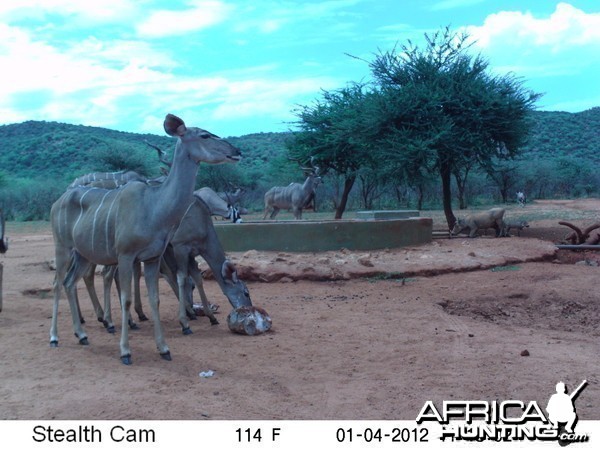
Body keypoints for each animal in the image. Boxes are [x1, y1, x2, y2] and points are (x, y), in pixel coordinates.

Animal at [49, 113, 246, 366]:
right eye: (204, 135)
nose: (237, 151)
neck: (154, 206)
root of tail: (58, 200)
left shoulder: (153, 258)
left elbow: (156, 298)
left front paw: (164, 348)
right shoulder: (129, 255)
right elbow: (128, 298)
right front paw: (126, 351)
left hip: (84, 254)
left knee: (71, 282)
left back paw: (82, 334)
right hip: (63, 247)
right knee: (58, 283)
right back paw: (56, 337)